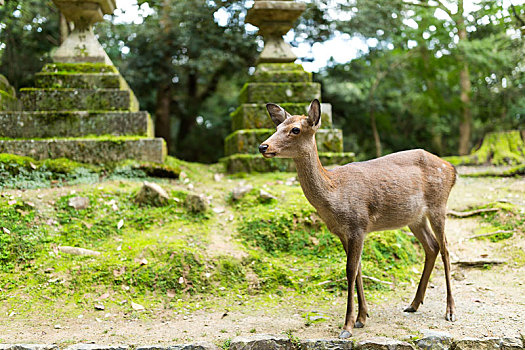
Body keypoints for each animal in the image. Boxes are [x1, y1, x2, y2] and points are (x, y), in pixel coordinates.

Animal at [260, 99, 456, 340]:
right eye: (277, 127)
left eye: (295, 129)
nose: (263, 147)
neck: (335, 194)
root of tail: (452, 169)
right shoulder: (343, 232)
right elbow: (359, 268)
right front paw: (362, 318)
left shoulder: (358, 225)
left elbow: (350, 270)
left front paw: (347, 326)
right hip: (414, 217)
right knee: (432, 246)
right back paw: (413, 304)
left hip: (439, 205)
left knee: (446, 249)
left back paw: (450, 311)